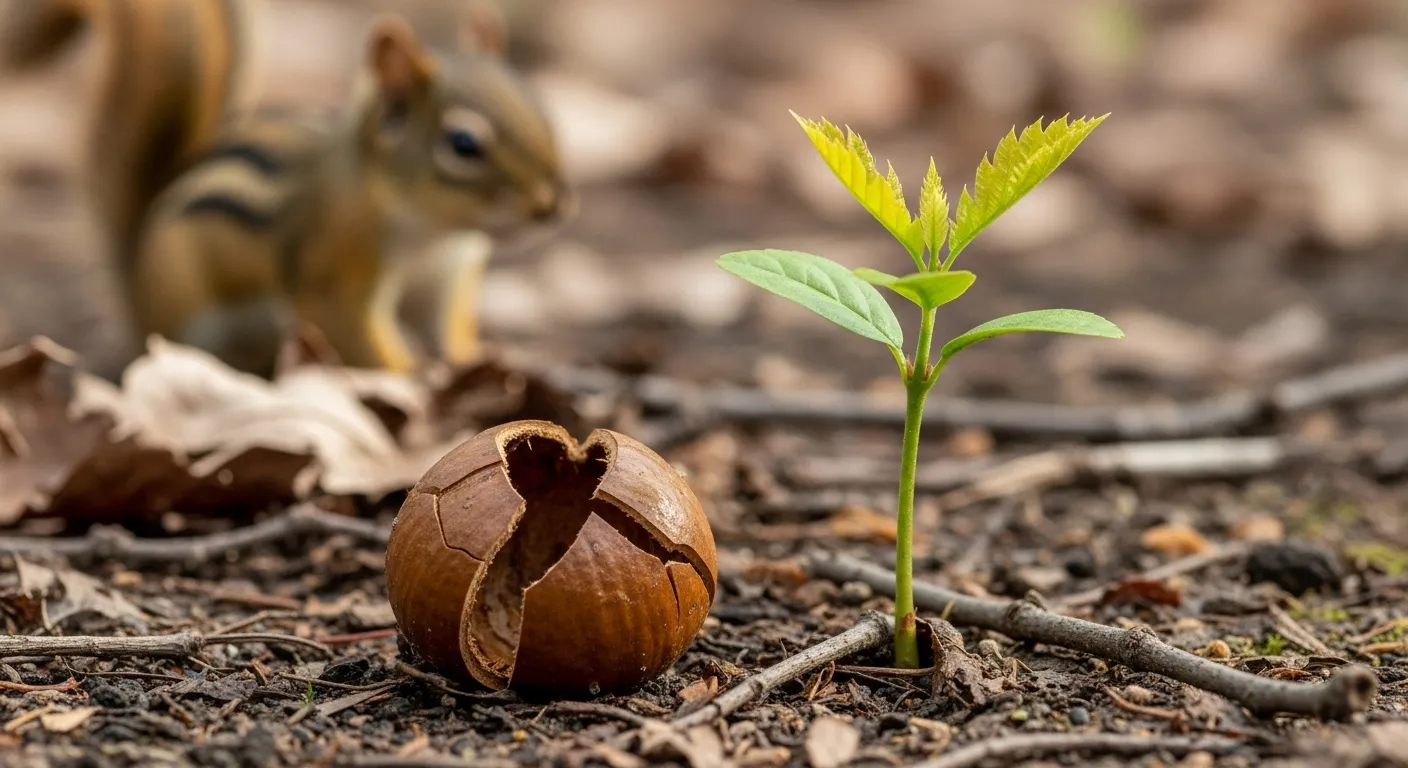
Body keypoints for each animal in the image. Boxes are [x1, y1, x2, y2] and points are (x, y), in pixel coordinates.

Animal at [0, 0, 567, 377]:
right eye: (464, 144)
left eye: (539, 102)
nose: (554, 205)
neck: (433, 230)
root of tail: (133, 272)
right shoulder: (333, 274)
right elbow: (358, 335)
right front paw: (411, 376)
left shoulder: (449, 275)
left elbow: (451, 329)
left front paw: (482, 362)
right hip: (186, 311)